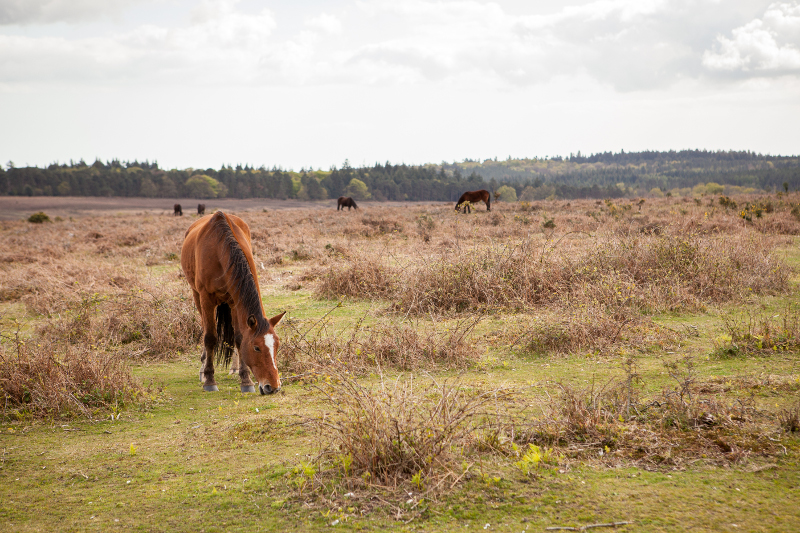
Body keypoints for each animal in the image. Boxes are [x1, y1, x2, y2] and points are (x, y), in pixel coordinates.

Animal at [180, 210, 286, 392]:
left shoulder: (235, 301)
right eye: (256, 347)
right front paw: (210, 380)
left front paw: (246, 380)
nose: (273, 387)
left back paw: (235, 369)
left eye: (277, 346)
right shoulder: (206, 298)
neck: (220, 249)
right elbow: (210, 337)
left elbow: (239, 338)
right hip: (197, 296)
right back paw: (203, 369)